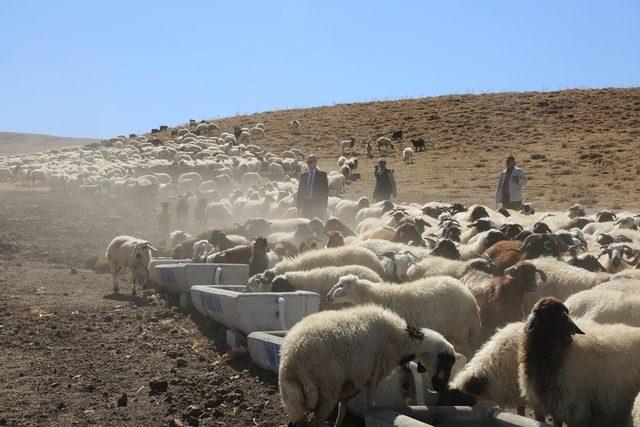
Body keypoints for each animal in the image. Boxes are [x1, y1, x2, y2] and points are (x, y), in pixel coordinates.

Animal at [278, 304, 456, 427]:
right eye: (447, 362)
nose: (442, 390)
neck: (402, 340)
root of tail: (291, 361)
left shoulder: (348, 384)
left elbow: (343, 409)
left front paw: (338, 424)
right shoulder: (374, 375)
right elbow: (370, 406)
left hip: (293, 397)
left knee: (296, 421)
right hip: (327, 389)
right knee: (318, 421)